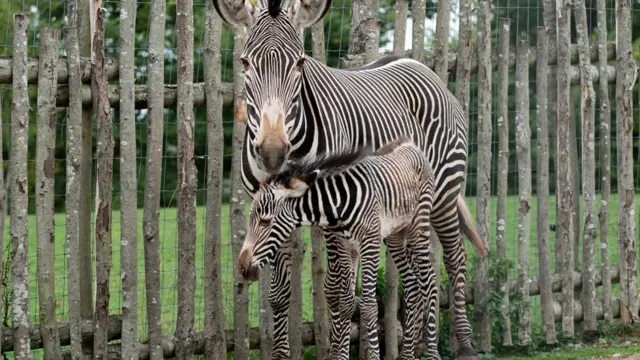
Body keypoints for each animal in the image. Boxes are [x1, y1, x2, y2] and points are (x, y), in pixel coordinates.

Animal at [238, 136, 442, 358]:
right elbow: (345, 303)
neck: (339, 205)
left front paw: (373, 355)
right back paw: (406, 355)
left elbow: (368, 306)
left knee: (429, 282)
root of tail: (409, 143)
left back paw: (432, 353)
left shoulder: (369, 242)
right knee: (412, 285)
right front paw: (342, 355)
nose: (242, 266)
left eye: (265, 222)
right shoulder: (345, 246)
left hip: (418, 227)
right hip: (395, 236)